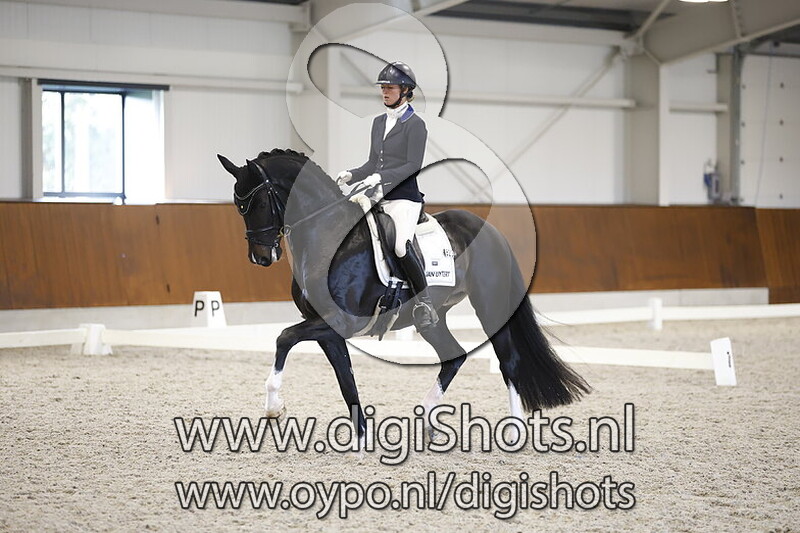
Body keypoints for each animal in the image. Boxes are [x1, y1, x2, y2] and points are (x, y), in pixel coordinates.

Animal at [217, 148, 589, 445]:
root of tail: (490, 230)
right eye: (238, 206)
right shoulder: (328, 329)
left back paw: (512, 431)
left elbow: (283, 338)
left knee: (508, 361)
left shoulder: (341, 320)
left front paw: (273, 407)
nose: (261, 257)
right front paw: (362, 441)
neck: (328, 235)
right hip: (432, 318)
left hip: (491, 305)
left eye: (258, 202)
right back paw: (425, 419)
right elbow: (346, 380)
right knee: (454, 356)